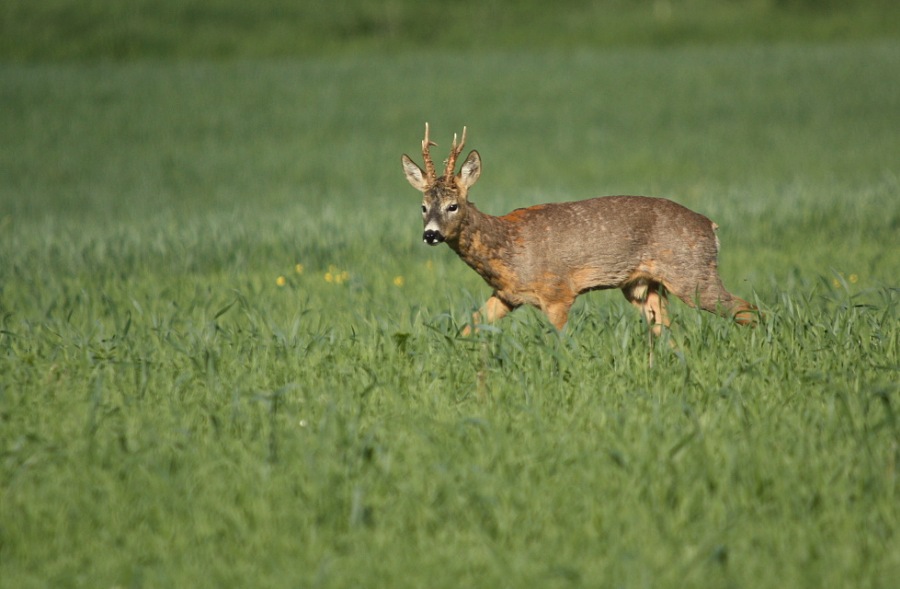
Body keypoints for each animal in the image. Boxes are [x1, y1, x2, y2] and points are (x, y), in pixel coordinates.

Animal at [400, 124, 752, 336]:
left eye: (453, 206)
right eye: (423, 207)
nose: (430, 234)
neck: (509, 247)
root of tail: (711, 226)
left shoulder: (558, 292)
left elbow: (560, 341)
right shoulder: (506, 295)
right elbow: (468, 328)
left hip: (692, 274)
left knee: (745, 308)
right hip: (643, 286)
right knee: (668, 331)